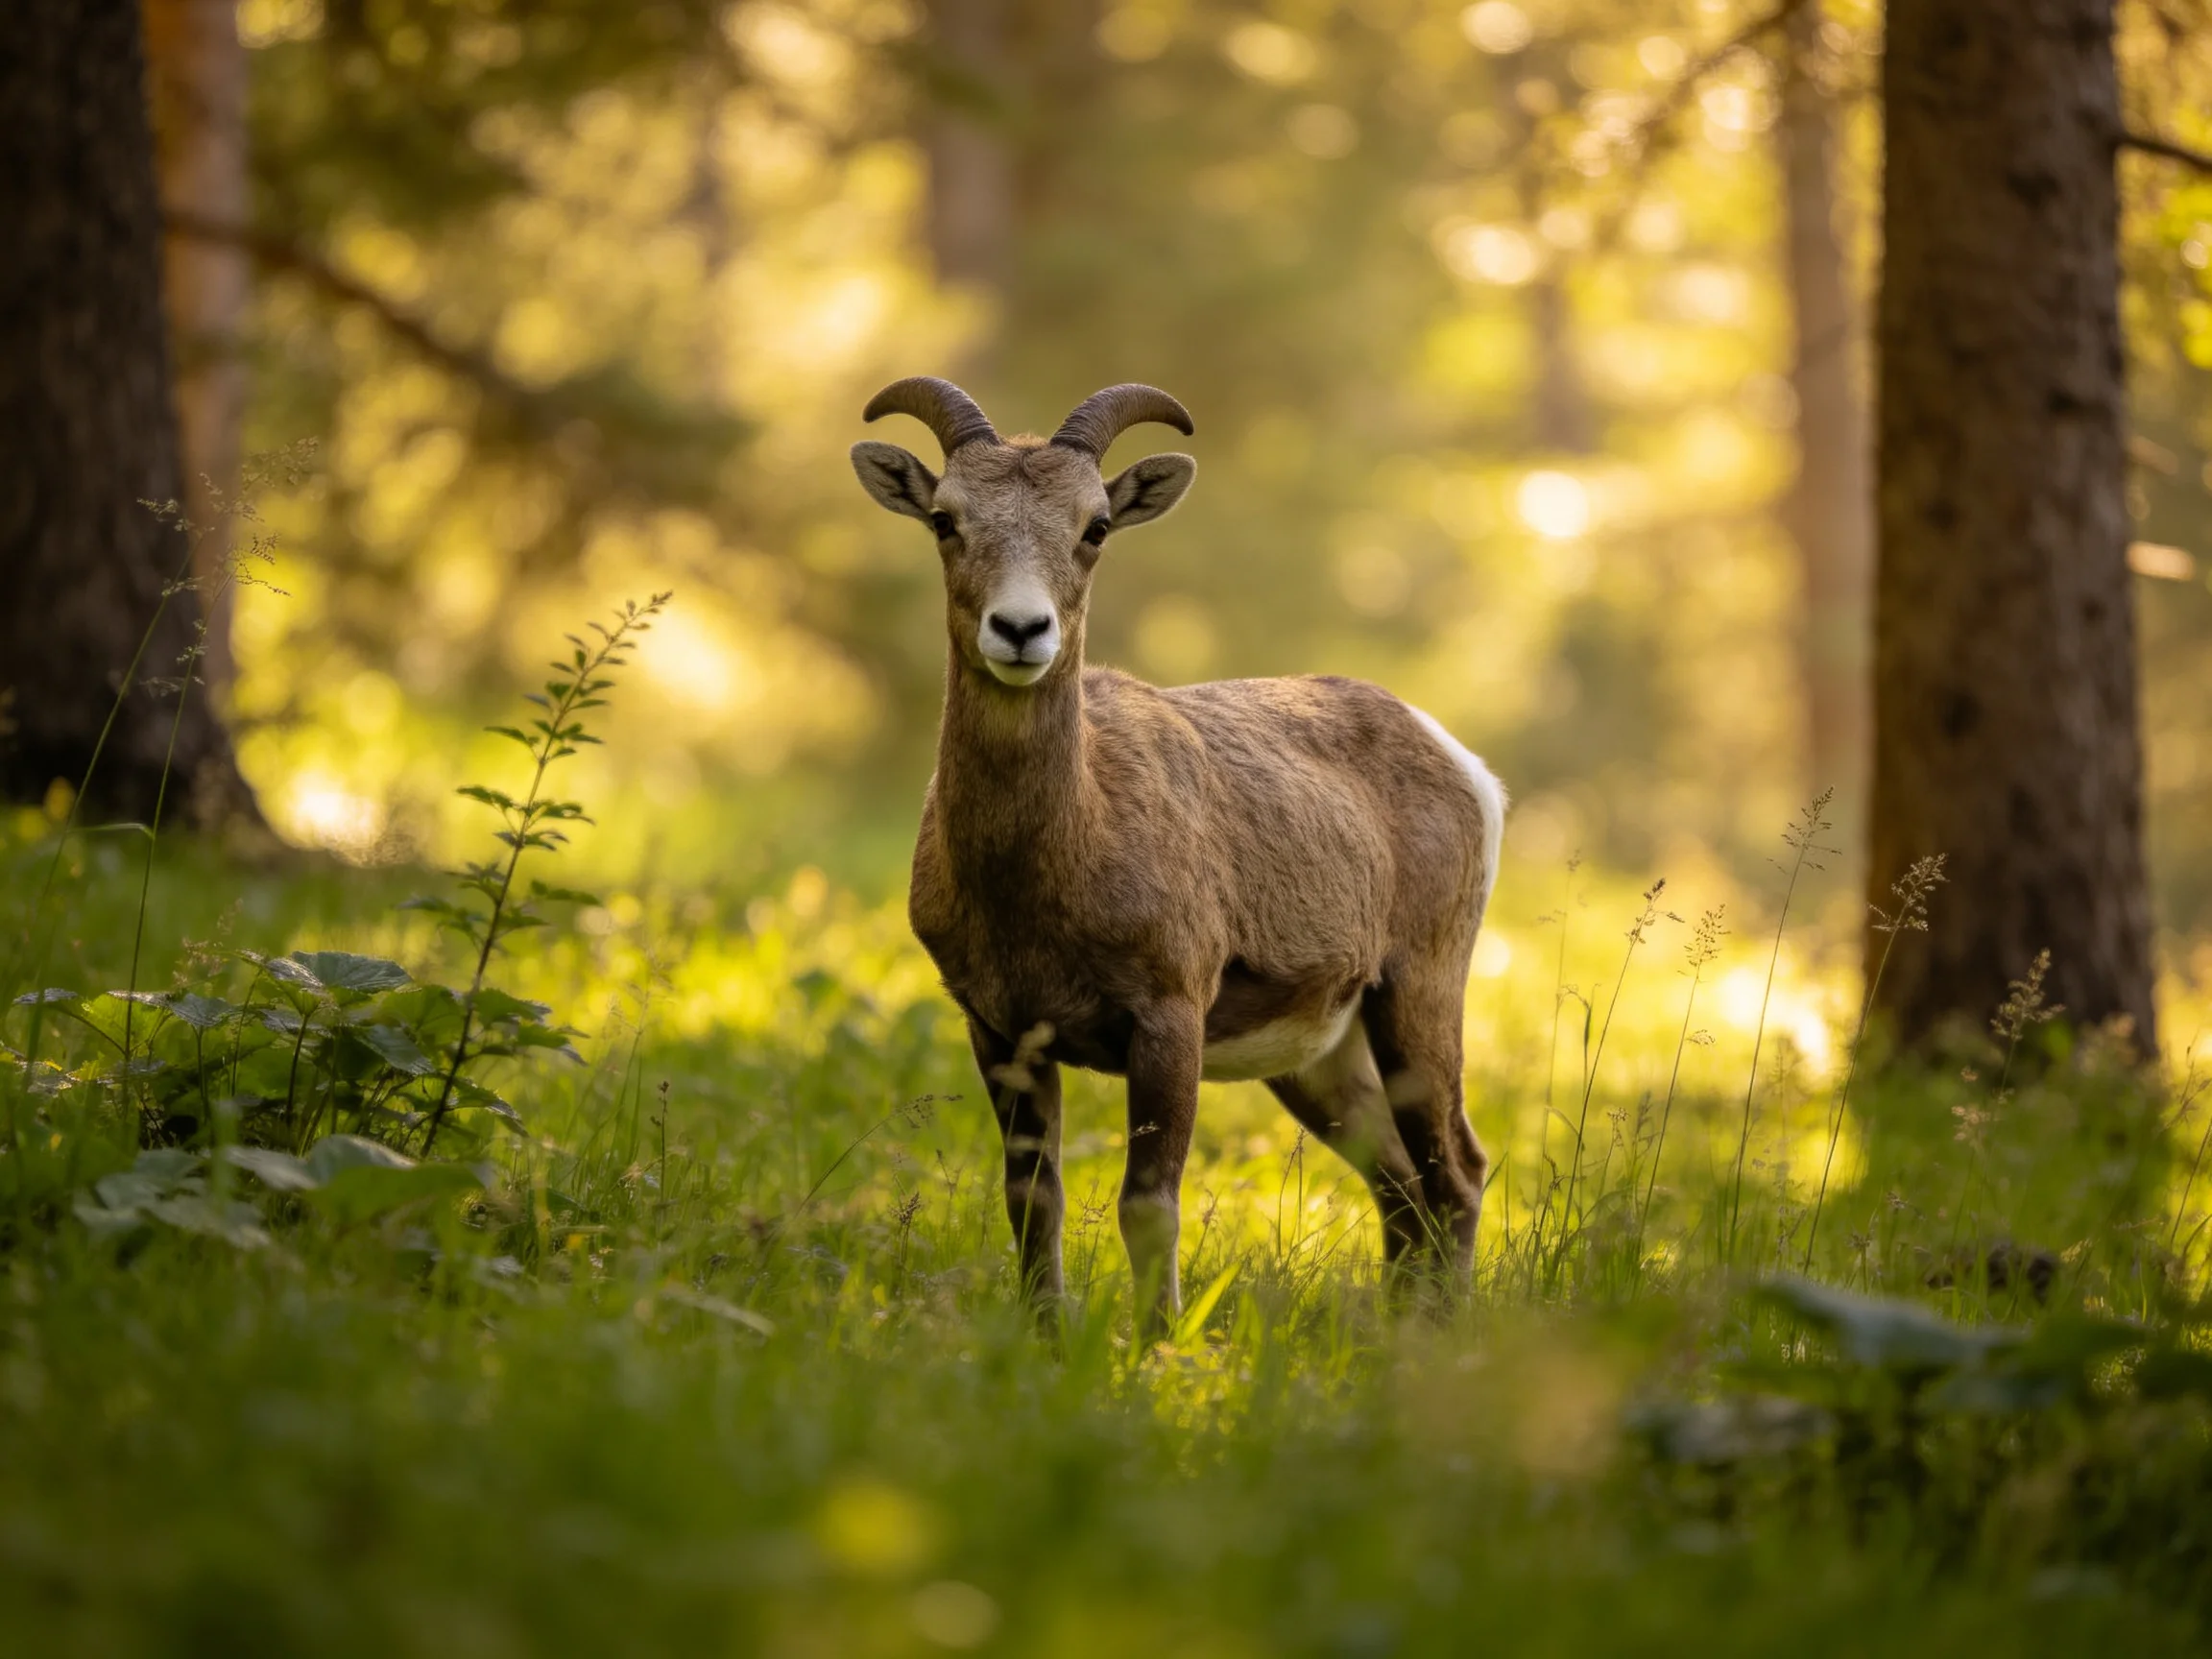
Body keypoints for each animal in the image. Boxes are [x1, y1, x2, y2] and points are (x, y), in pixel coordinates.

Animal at [850, 377, 1506, 1333]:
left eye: (1094, 526)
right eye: (945, 518)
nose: (1021, 629)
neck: (1050, 868)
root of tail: (1466, 766)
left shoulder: (1167, 1020)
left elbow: (1148, 1206)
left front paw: (1156, 1344)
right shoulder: (1002, 1033)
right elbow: (1031, 1202)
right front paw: (1046, 1333)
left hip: (1417, 997)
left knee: (1454, 1172)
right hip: (1321, 1061)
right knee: (1399, 1186)